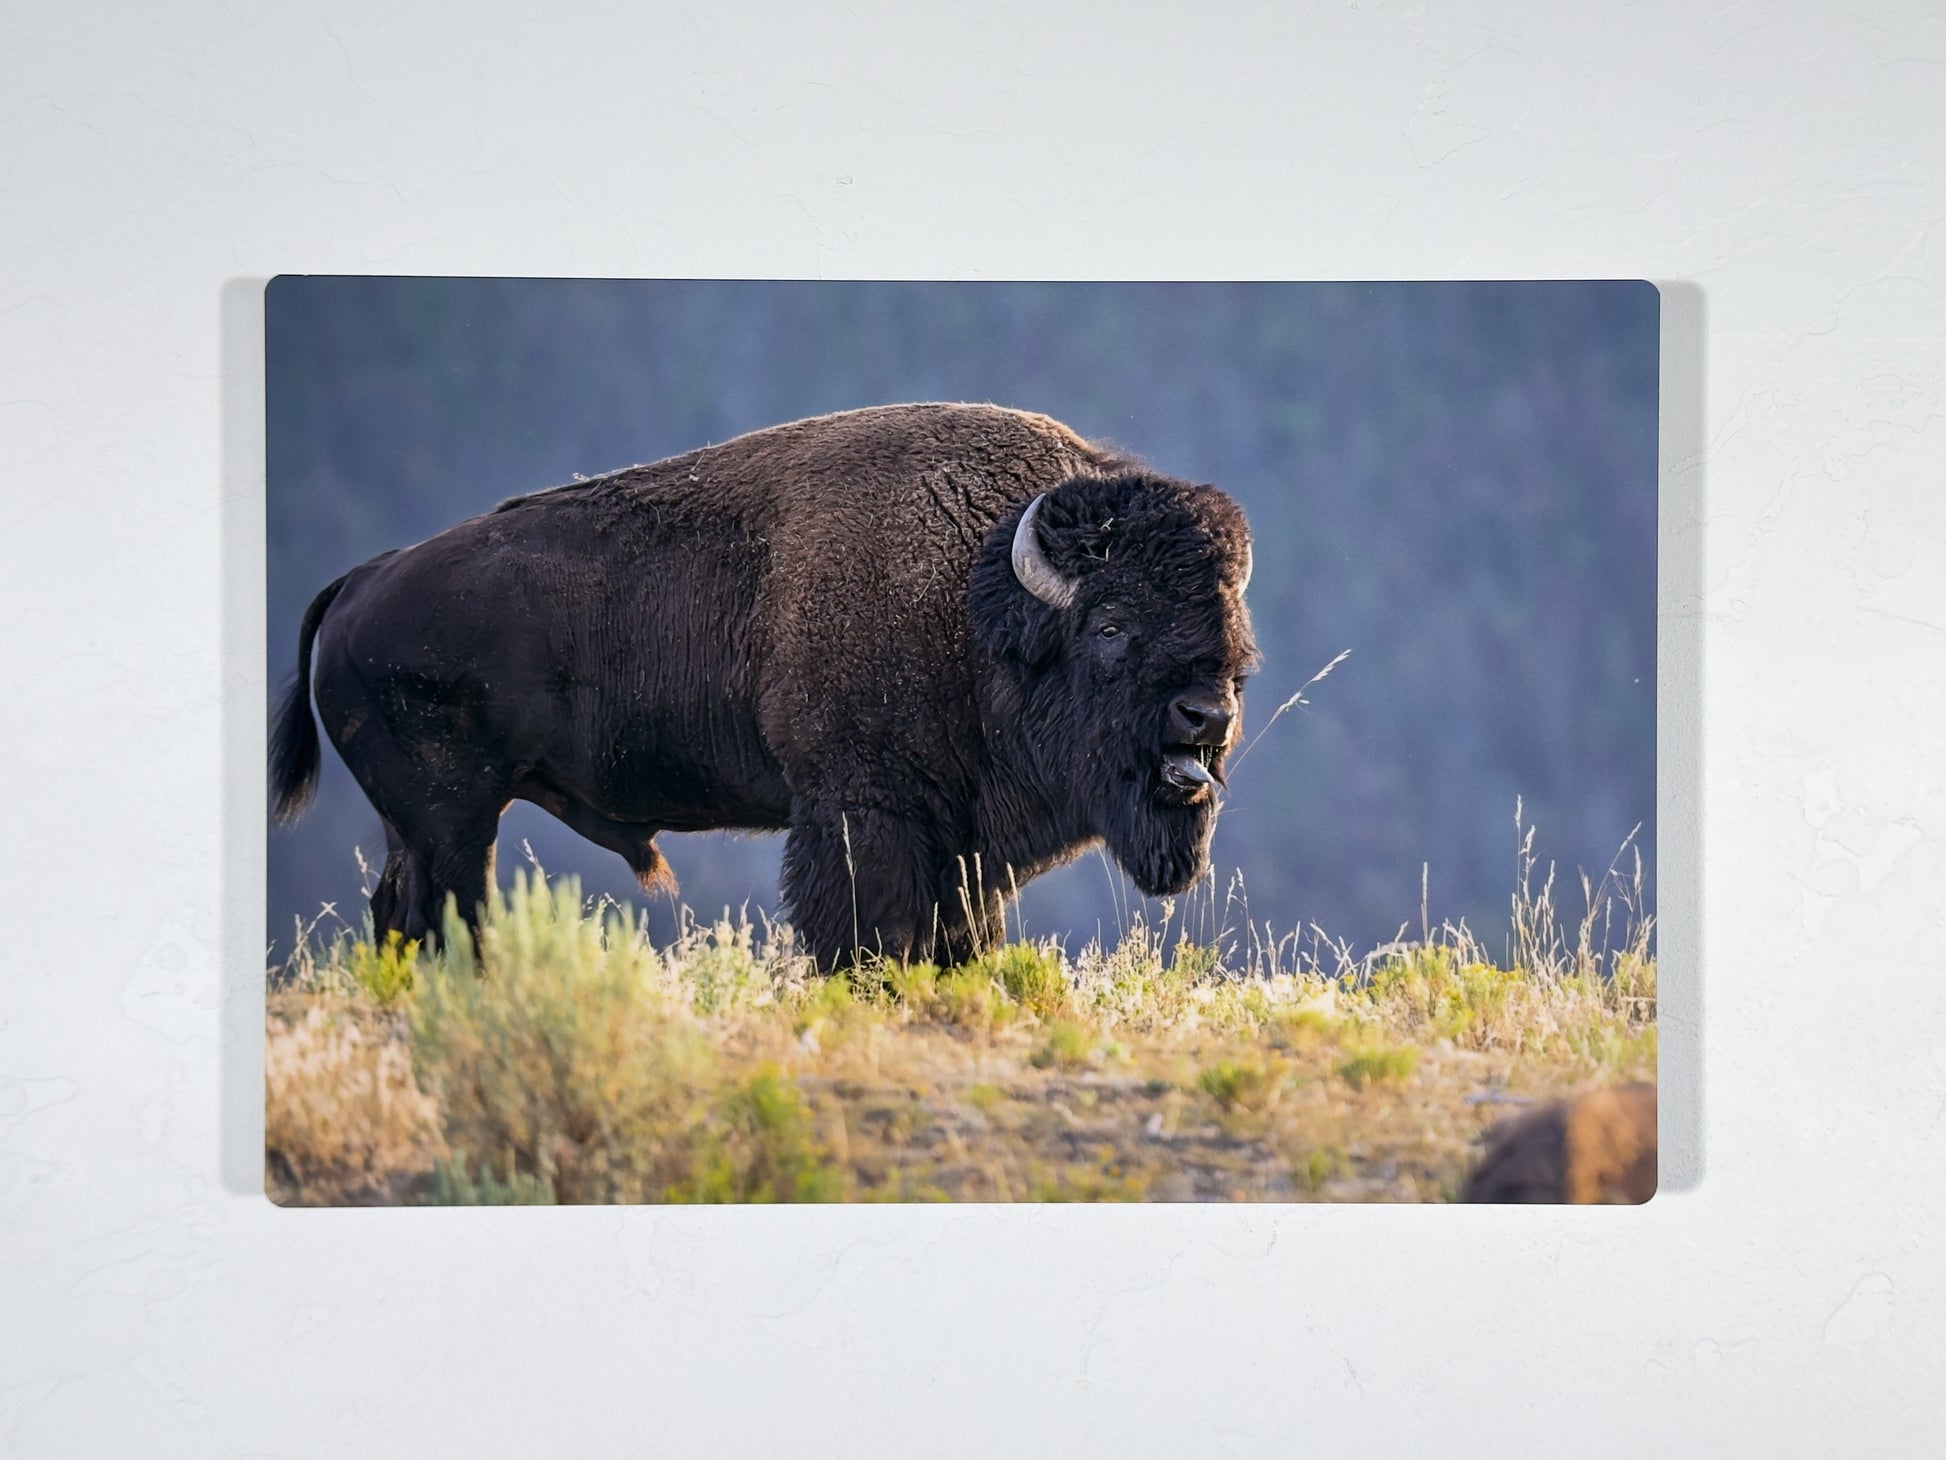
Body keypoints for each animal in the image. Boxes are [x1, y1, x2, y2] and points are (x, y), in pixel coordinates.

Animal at [270, 402, 1258, 969]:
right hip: (453, 820)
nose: (1206, 716)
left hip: (425, 826)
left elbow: (958, 940)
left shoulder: (960, 846)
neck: (976, 602)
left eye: (1234, 636)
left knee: (399, 913)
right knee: (439, 913)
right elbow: (867, 932)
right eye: (1110, 626)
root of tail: (361, 580)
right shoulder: (864, 813)